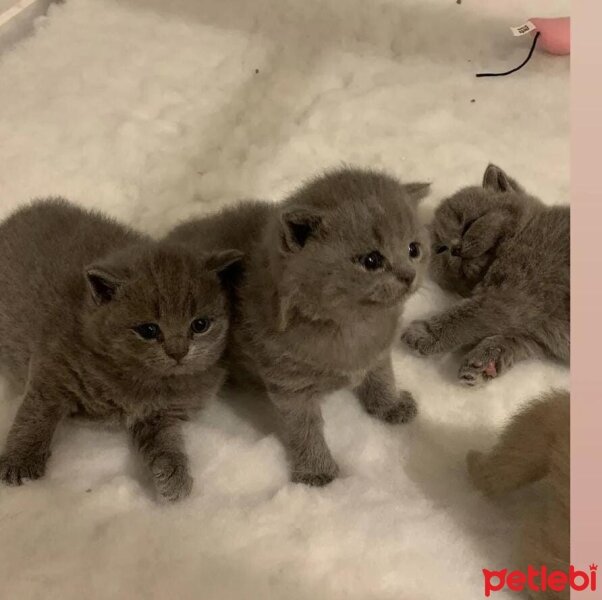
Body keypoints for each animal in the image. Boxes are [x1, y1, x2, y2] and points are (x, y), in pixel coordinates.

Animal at [0, 198, 239, 502]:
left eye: (200, 325)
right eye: (148, 330)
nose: (178, 352)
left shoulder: (159, 413)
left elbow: (166, 441)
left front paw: (174, 475)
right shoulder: (51, 369)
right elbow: (35, 414)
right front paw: (20, 461)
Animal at [166, 166, 428, 486]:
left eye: (413, 249)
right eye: (372, 260)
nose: (408, 275)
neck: (354, 325)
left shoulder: (378, 352)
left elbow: (382, 377)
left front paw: (390, 406)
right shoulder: (290, 383)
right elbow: (304, 428)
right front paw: (317, 469)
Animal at [400, 164, 564, 384]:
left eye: (470, 223)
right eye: (441, 249)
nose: (456, 249)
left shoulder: (515, 293)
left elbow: (469, 315)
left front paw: (424, 334)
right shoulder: (536, 334)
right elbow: (514, 340)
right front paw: (485, 361)